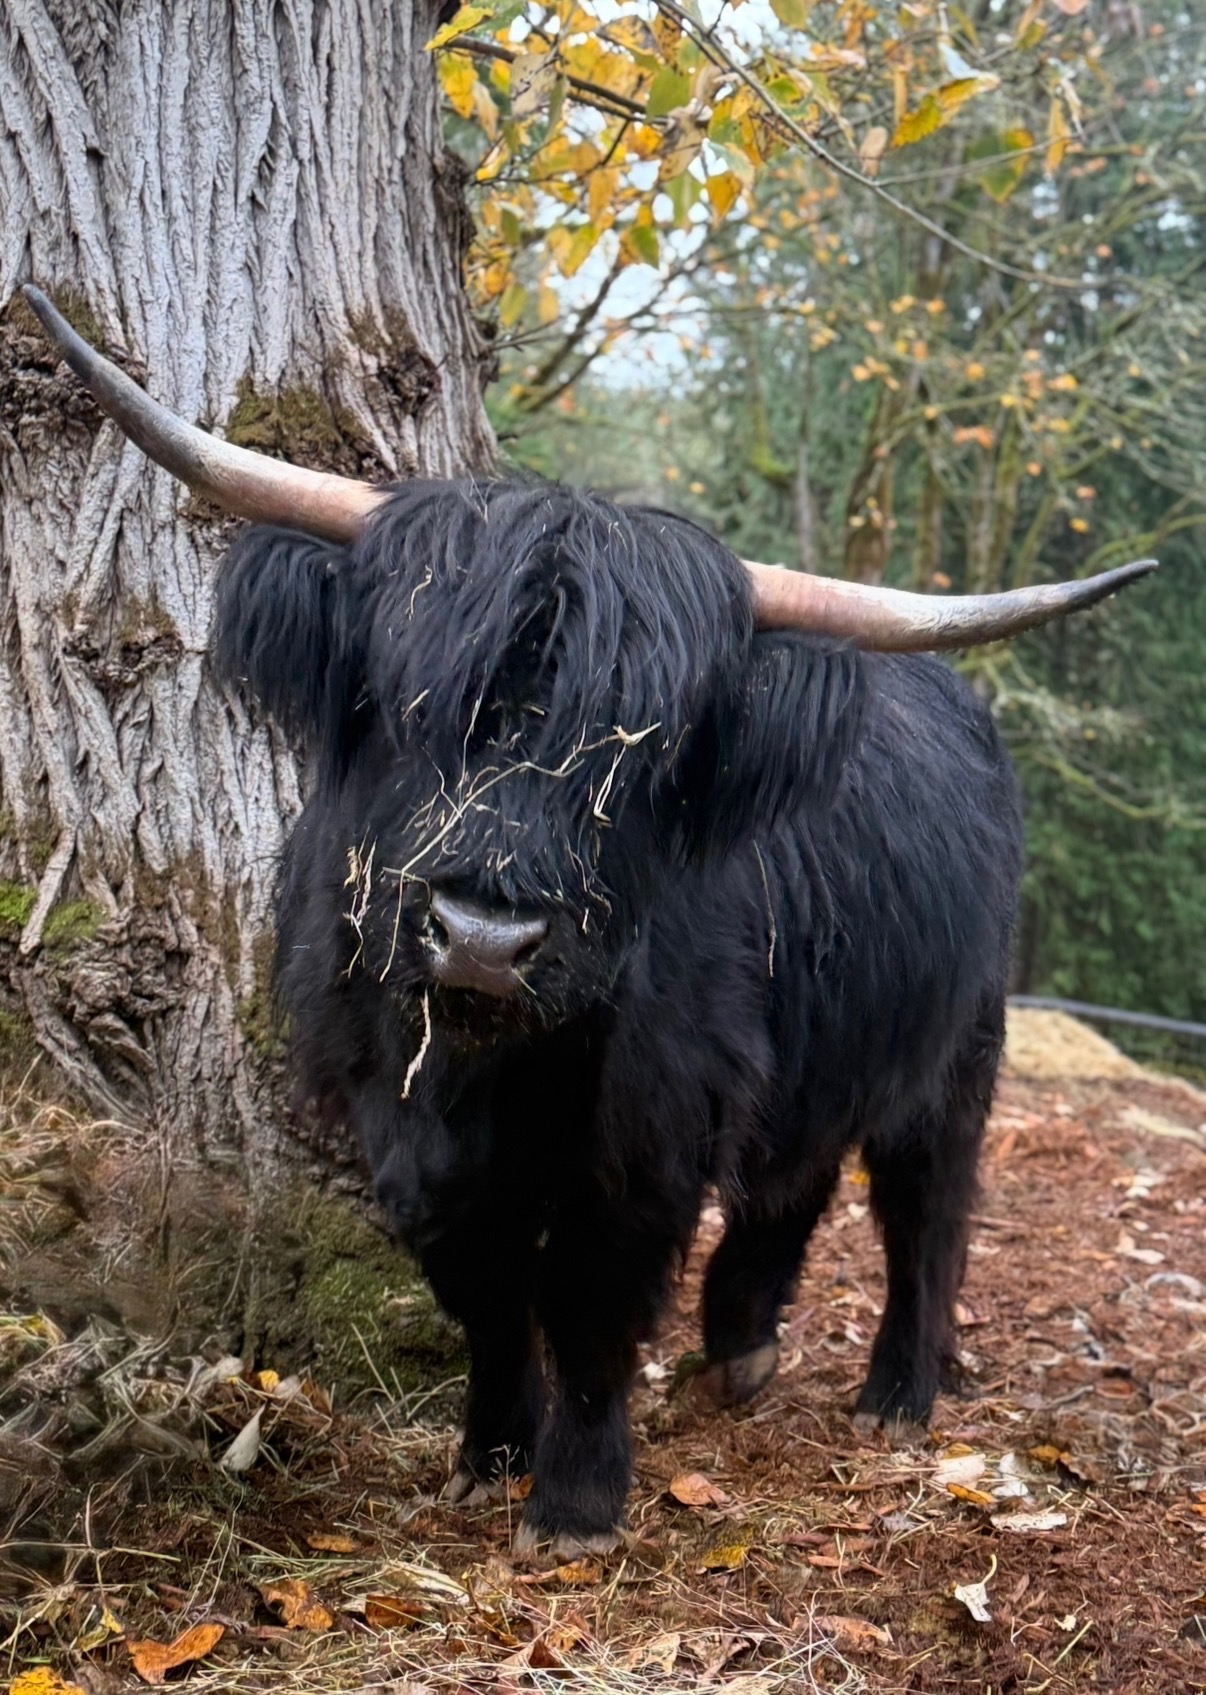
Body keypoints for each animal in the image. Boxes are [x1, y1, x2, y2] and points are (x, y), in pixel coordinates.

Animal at [22, 286, 1154, 1558]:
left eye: (644, 760)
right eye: (407, 702)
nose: (482, 940)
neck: (489, 1072)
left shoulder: (653, 1119)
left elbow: (590, 1297)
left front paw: (573, 1497)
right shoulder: (391, 1104)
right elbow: (477, 1283)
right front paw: (488, 1451)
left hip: (959, 1046)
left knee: (926, 1205)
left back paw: (897, 1393)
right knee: (798, 1172)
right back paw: (740, 1346)